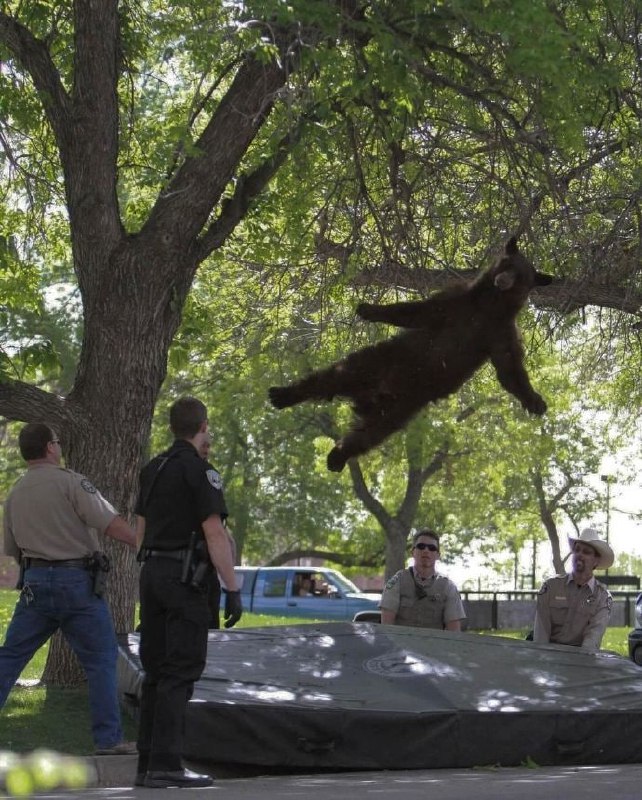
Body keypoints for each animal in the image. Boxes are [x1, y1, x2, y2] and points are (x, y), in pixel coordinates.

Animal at [269, 236, 553, 472]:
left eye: (521, 276)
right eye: (507, 263)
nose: (503, 280)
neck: (490, 305)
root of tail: (370, 397)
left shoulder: (500, 332)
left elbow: (509, 368)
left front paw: (535, 401)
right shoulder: (458, 302)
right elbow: (417, 311)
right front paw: (369, 309)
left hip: (401, 408)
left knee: (368, 435)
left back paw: (337, 457)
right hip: (377, 362)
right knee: (330, 377)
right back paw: (283, 394)